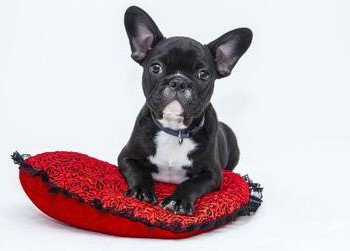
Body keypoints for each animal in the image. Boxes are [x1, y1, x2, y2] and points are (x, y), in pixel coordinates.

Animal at [119, 5, 253, 215]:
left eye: (203, 75)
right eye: (156, 68)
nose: (179, 81)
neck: (175, 130)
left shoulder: (213, 174)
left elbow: (191, 184)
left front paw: (178, 200)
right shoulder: (126, 157)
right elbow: (138, 171)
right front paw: (141, 190)